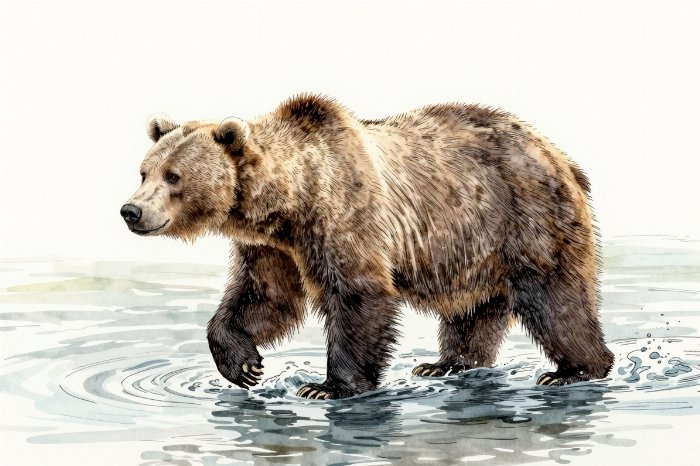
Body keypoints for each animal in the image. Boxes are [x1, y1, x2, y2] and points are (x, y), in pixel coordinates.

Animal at [121, 94, 615, 400]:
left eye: (174, 176)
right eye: (144, 170)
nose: (131, 211)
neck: (288, 203)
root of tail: (560, 155)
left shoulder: (344, 215)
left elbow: (359, 294)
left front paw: (328, 386)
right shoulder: (272, 247)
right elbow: (266, 297)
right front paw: (243, 365)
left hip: (524, 216)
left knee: (554, 297)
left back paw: (574, 370)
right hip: (471, 250)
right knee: (473, 311)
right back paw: (446, 365)